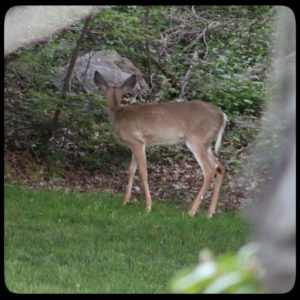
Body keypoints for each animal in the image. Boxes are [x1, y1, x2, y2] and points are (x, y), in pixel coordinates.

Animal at [94, 72, 227, 218]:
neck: (118, 114)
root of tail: (222, 116)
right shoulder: (136, 144)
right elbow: (131, 170)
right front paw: (126, 201)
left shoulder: (137, 142)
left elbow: (142, 172)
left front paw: (148, 207)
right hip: (206, 143)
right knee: (220, 167)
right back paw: (210, 213)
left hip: (196, 140)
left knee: (209, 170)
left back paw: (192, 211)